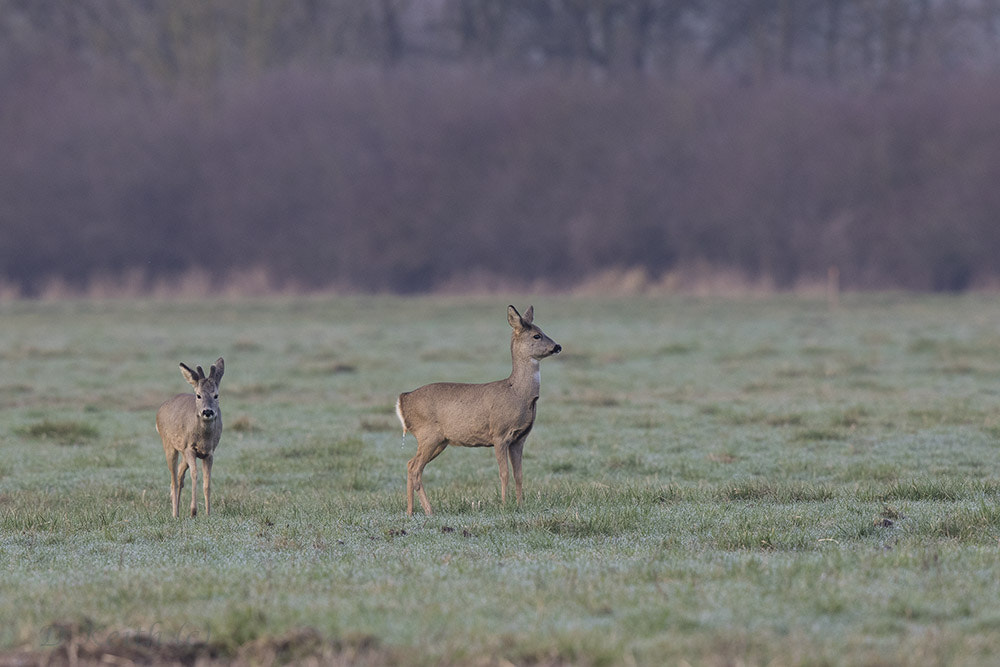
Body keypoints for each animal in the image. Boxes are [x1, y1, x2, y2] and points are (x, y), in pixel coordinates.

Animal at [156, 358, 225, 520]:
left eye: (216, 395)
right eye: (198, 395)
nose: (207, 411)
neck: (203, 439)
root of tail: (160, 410)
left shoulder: (209, 452)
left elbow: (207, 482)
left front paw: (208, 513)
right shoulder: (189, 448)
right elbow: (195, 475)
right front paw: (193, 511)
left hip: (182, 452)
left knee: (180, 476)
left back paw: (177, 511)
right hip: (169, 444)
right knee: (174, 480)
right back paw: (175, 513)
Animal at [394, 306, 560, 520]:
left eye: (542, 330)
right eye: (536, 335)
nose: (557, 346)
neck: (517, 393)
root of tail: (403, 399)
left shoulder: (519, 438)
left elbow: (519, 474)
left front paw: (520, 505)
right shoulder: (499, 434)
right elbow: (504, 473)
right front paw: (504, 506)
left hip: (440, 441)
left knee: (411, 464)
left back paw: (413, 511)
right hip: (428, 435)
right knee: (414, 467)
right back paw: (425, 510)